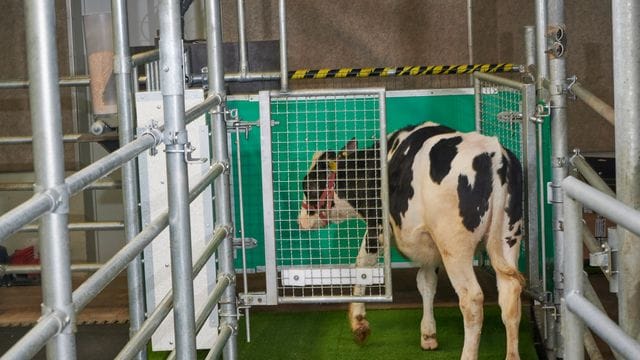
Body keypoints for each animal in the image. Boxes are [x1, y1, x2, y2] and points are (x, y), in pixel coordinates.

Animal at [298, 121, 524, 360]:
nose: (300, 219)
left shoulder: (377, 227)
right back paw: (512, 355)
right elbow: (426, 282)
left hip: (454, 246)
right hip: (508, 237)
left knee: (471, 300)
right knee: (510, 294)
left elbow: (363, 265)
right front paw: (428, 334)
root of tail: (494, 153)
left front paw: (358, 322)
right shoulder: (429, 244)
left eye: (309, 185)